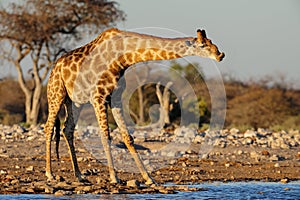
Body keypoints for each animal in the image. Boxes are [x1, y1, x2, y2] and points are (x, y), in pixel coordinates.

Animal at [44, 28, 223, 184]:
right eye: (202, 45)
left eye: (210, 41)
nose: (220, 54)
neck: (122, 57)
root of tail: (55, 67)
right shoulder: (98, 97)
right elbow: (105, 136)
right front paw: (114, 177)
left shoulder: (115, 97)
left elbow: (127, 137)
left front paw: (148, 178)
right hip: (56, 94)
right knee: (49, 127)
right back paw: (50, 174)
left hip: (75, 101)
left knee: (67, 129)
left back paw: (79, 175)